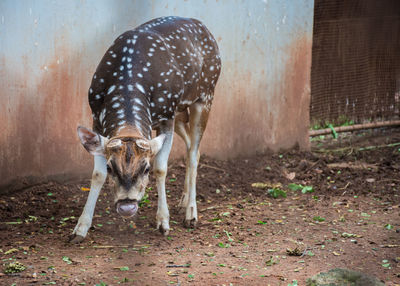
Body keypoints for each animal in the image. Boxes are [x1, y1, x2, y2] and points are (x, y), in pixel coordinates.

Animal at [72, 16, 222, 242]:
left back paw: (191, 214)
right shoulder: (96, 117)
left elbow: (162, 167)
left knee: (194, 152)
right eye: (110, 167)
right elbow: (96, 174)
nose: (127, 206)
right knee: (191, 148)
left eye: (145, 168)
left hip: (205, 96)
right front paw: (80, 228)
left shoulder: (167, 117)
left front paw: (163, 222)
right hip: (179, 111)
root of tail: (205, 28)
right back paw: (183, 202)